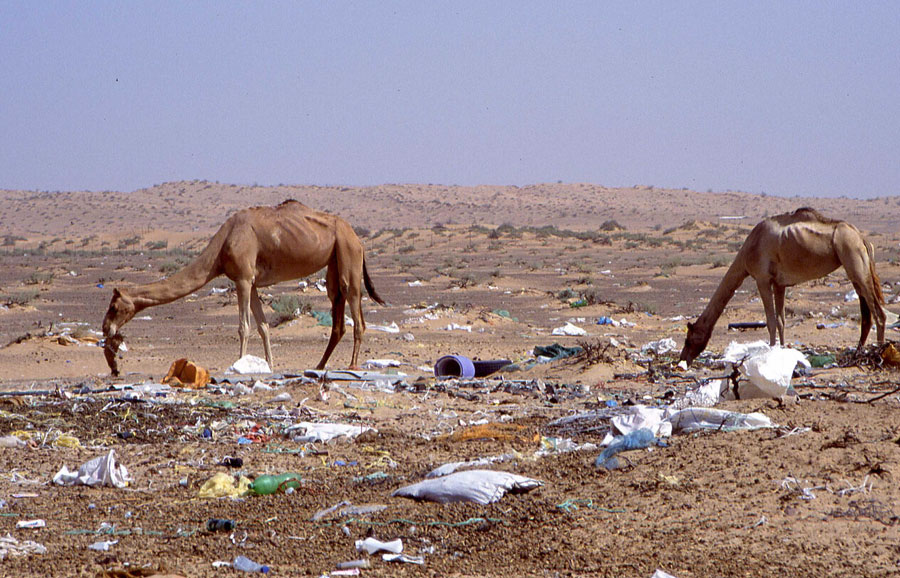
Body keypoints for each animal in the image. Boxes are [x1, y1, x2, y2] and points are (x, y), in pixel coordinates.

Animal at [102, 200, 384, 376]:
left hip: (348, 253)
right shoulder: (253, 282)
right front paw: (268, 365)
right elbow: (263, 326)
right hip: (334, 260)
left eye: (114, 307)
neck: (221, 246)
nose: (106, 328)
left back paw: (353, 364)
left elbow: (244, 326)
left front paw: (238, 364)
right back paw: (320, 364)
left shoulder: (243, 279)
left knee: (354, 305)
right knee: (337, 308)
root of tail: (357, 236)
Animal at [684, 208, 884, 364]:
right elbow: (781, 321)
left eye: (689, 339)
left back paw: (880, 354)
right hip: (856, 268)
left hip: (854, 259)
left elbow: (771, 321)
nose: (683, 358)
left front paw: (770, 354)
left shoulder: (762, 279)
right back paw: (857, 354)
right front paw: (781, 352)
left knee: (879, 314)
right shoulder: (779, 283)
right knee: (866, 314)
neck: (748, 250)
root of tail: (863, 239)